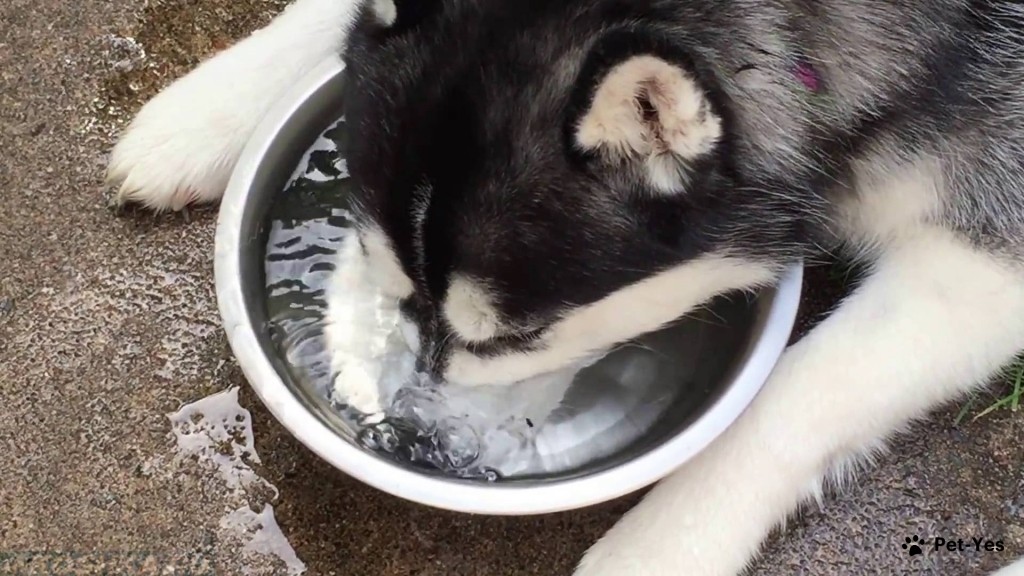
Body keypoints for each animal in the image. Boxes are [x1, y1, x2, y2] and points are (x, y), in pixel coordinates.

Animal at [105, 0, 1024, 569]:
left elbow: (795, 399)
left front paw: (661, 545)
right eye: (400, 288)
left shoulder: (987, 258)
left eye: (515, 336)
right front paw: (208, 113)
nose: (414, 443)